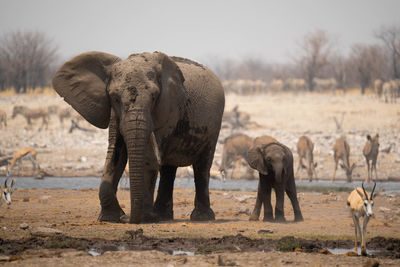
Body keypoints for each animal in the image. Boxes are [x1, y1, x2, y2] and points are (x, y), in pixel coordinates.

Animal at [52, 51, 225, 225]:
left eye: (154, 97)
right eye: (114, 97)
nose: (125, 218)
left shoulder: (168, 110)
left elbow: (149, 158)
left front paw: (142, 218)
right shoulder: (115, 113)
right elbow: (115, 153)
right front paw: (110, 218)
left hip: (214, 125)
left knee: (202, 166)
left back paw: (201, 217)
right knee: (168, 168)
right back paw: (162, 216)